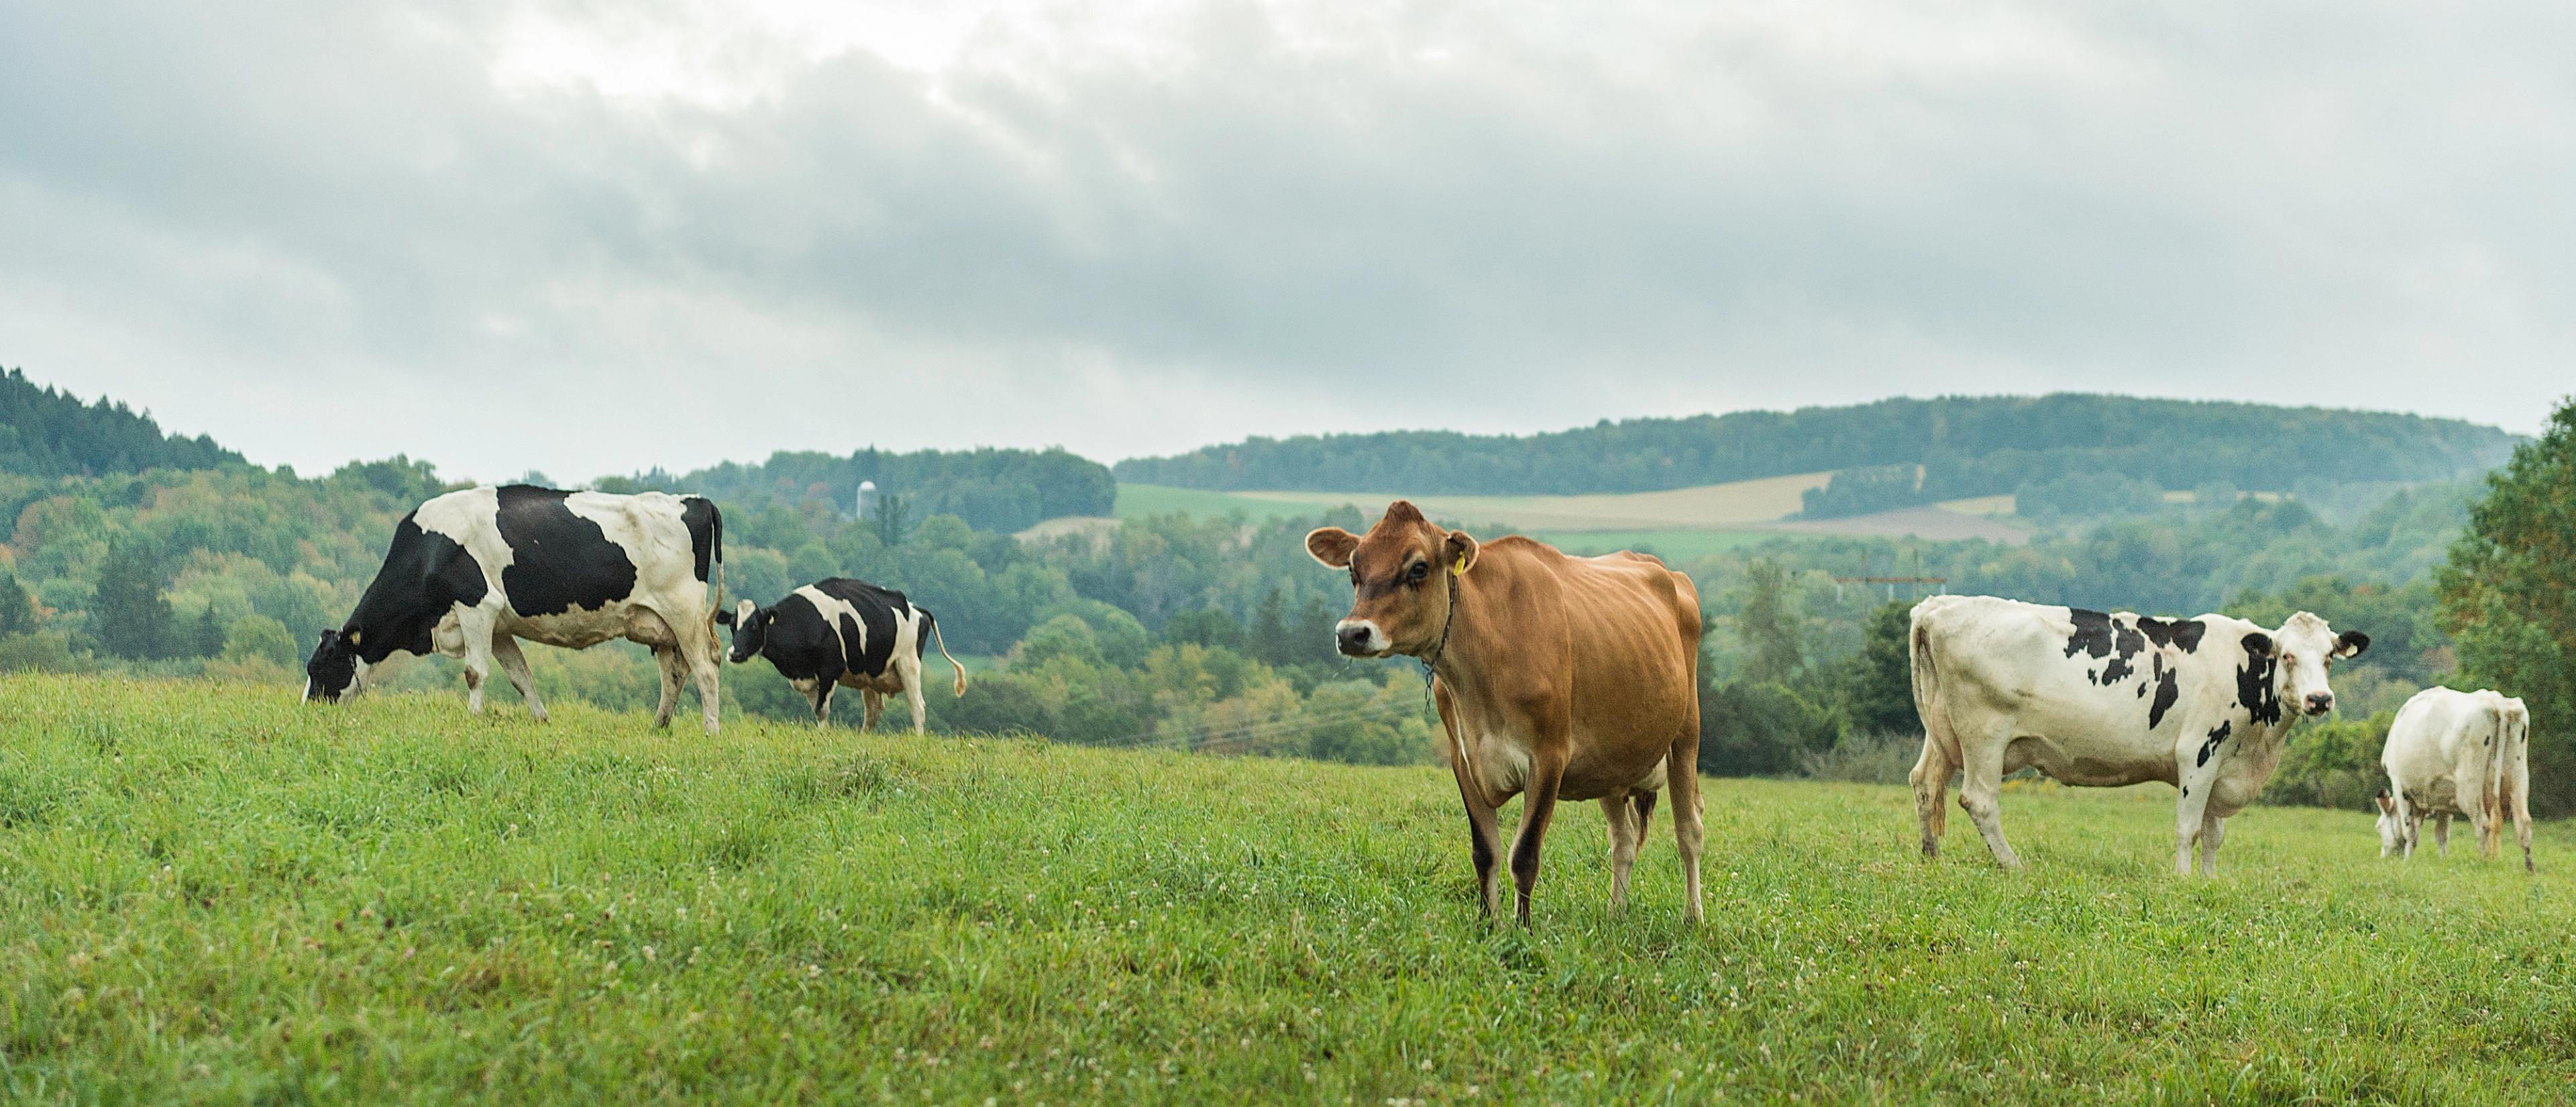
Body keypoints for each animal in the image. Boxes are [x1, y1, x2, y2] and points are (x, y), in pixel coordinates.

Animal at [304, 485, 727, 734]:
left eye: (319, 666)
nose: (307, 709)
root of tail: (696, 500)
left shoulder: (476, 603)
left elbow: (474, 672)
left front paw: (473, 718)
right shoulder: (498, 626)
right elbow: (521, 676)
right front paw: (540, 719)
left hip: (684, 613)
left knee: (705, 669)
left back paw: (711, 731)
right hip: (660, 624)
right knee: (674, 673)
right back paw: (658, 726)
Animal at [717, 578, 967, 732]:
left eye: (754, 626)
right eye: (732, 626)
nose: (734, 653)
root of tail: (915, 607)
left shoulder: (830, 669)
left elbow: (822, 709)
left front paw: (822, 736)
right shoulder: (806, 677)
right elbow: (817, 710)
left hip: (908, 663)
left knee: (918, 706)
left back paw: (918, 738)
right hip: (871, 675)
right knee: (874, 712)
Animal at [1306, 501, 1705, 925]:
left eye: (1419, 567)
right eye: (1353, 569)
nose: (1352, 634)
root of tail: (1667, 571)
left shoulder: (1549, 757)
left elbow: (1524, 855)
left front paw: (1524, 930)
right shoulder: (1463, 758)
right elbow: (1486, 853)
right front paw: (1488, 925)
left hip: (1686, 735)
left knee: (1689, 831)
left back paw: (1693, 918)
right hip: (1610, 763)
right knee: (1624, 839)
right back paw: (1616, 913)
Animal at [1908, 595, 2368, 876]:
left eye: (2329, 656)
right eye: (2286, 656)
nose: (2319, 699)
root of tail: (1939, 606)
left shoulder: (2224, 765)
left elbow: (2215, 834)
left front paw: (2210, 880)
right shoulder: (2199, 753)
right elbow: (2190, 828)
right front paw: (2184, 880)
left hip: (1942, 732)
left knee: (1925, 783)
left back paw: (1932, 858)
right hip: (1984, 735)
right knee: (1979, 801)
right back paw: (2014, 866)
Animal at [2376, 687, 2533, 871]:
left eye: (2379, 827)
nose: (2384, 857)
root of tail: (2497, 701)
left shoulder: (2400, 785)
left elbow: (2411, 832)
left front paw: (2407, 862)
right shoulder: (2445, 799)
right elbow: (2441, 834)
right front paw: (2443, 861)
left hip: (2470, 787)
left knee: (2483, 825)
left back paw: (2484, 864)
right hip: (2518, 776)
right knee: (2524, 823)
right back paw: (2529, 869)